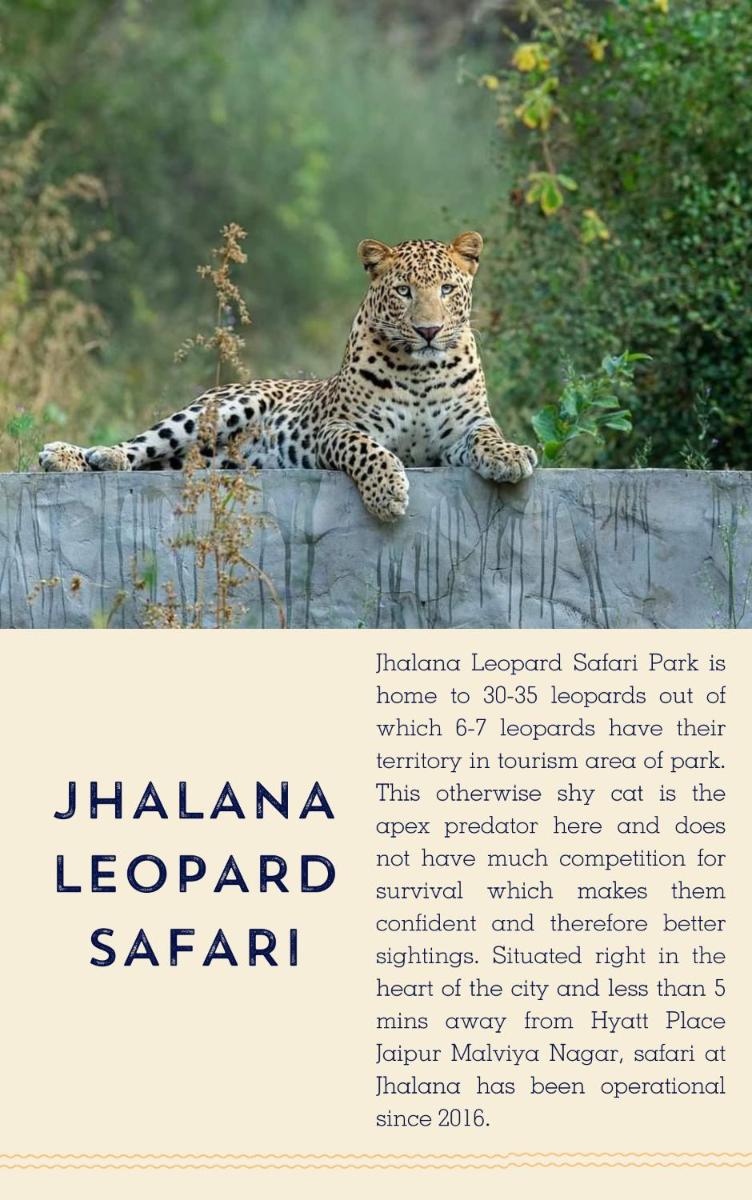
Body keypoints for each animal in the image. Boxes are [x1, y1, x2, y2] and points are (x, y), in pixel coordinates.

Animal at [39, 231, 537, 522]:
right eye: (403, 291)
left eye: (447, 289)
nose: (429, 330)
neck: (422, 371)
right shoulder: (336, 428)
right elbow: (368, 450)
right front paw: (387, 492)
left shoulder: (462, 430)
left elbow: (486, 436)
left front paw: (511, 456)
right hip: (221, 409)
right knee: (141, 444)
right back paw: (78, 455)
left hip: (203, 458)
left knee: (163, 462)